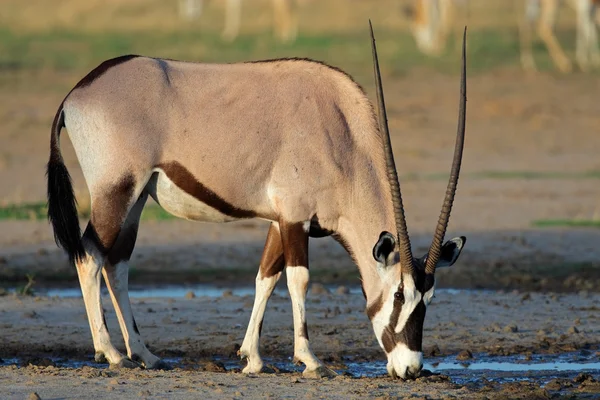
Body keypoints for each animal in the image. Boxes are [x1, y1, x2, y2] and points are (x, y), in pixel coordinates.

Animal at [47, 23, 468, 380]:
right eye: (398, 295)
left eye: (429, 297)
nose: (411, 368)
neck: (341, 134)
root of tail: (76, 93)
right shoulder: (295, 217)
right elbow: (298, 279)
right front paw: (310, 360)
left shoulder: (278, 220)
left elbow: (266, 276)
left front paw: (252, 358)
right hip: (115, 192)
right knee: (89, 257)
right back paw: (112, 353)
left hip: (134, 200)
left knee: (116, 263)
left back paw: (144, 354)